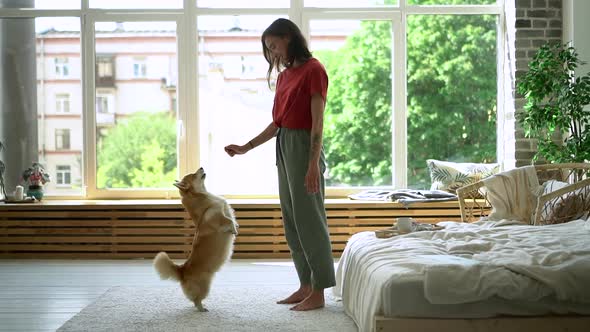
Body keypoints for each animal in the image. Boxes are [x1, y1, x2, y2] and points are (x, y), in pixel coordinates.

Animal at [154, 167, 239, 312]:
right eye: (194, 175)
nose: (201, 167)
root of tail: (182, 270)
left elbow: (231, 218)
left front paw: (236, 226)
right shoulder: (218, 217)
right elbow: (228, 220)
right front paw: (234, 229)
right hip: (205, 286)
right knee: (196, 300)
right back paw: (202, 308)